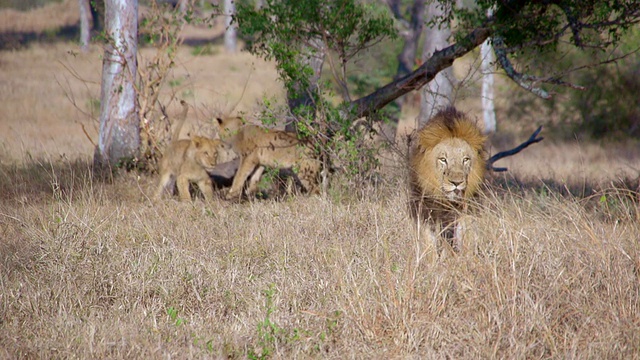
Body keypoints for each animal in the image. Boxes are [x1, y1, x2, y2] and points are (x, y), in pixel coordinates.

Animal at [410, 107, 484, 253]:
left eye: (465, 159)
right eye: (443, 159)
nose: (456, 183)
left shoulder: (465, 214)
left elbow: (465, 239)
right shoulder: (426, 214)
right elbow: (429, 244)